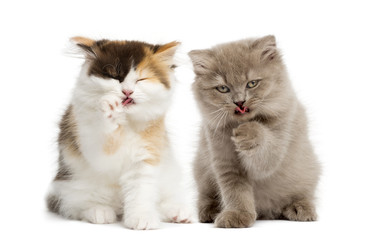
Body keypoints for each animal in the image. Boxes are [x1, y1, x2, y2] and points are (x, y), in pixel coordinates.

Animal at [46, 36, 192, 230]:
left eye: (141, 79)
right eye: (114, 76)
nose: (127, 91)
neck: (126, 123)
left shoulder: (145, 157)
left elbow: (141, 191)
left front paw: (142, 218)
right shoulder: (90, 143)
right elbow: (104, 138)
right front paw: (109, 109)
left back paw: (178, 212)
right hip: (68, 187)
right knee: (75, 206)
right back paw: (99, 211)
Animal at [189, 34, 320, 228]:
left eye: (252, 84)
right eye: (223, 88)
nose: (239, 102)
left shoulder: (277, 144)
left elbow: (263, 142)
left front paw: (247, 133)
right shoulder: (226, 163)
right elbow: (235, 192)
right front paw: (237, 215)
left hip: (308, 171)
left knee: (303, 195)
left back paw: (300, 209)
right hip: (201, 172)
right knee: (205, 197)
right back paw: (210, 212)